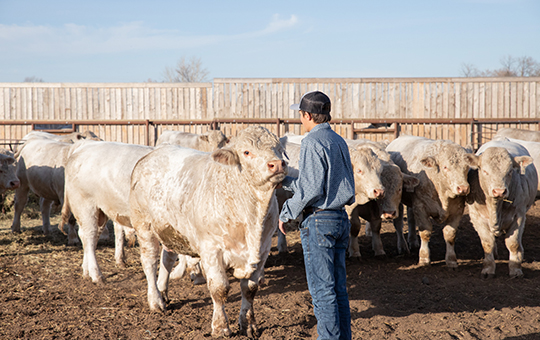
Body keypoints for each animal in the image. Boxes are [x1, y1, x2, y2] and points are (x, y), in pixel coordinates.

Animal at [128, 125, 286, 338]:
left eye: (279, 149)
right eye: (246, 152)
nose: (277, 164)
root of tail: (153, 153)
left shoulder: (263, 249)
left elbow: (250, 289)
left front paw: (249, 325)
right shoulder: (211, 249)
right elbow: (219, 289)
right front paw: (220, 327)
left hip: (170, 230)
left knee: (166, 259)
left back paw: (163, 292)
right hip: (144, 226)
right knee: (149, 262)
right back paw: (156, 301)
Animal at [466, 139, 536, 278]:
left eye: (509, 172)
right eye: (485, 171)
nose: (499, 191)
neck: (495, 206)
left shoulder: (519, 216)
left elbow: (513, 243)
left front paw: (515, 269)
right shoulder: (476, 218)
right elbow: (487, 243)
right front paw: (488, 268)